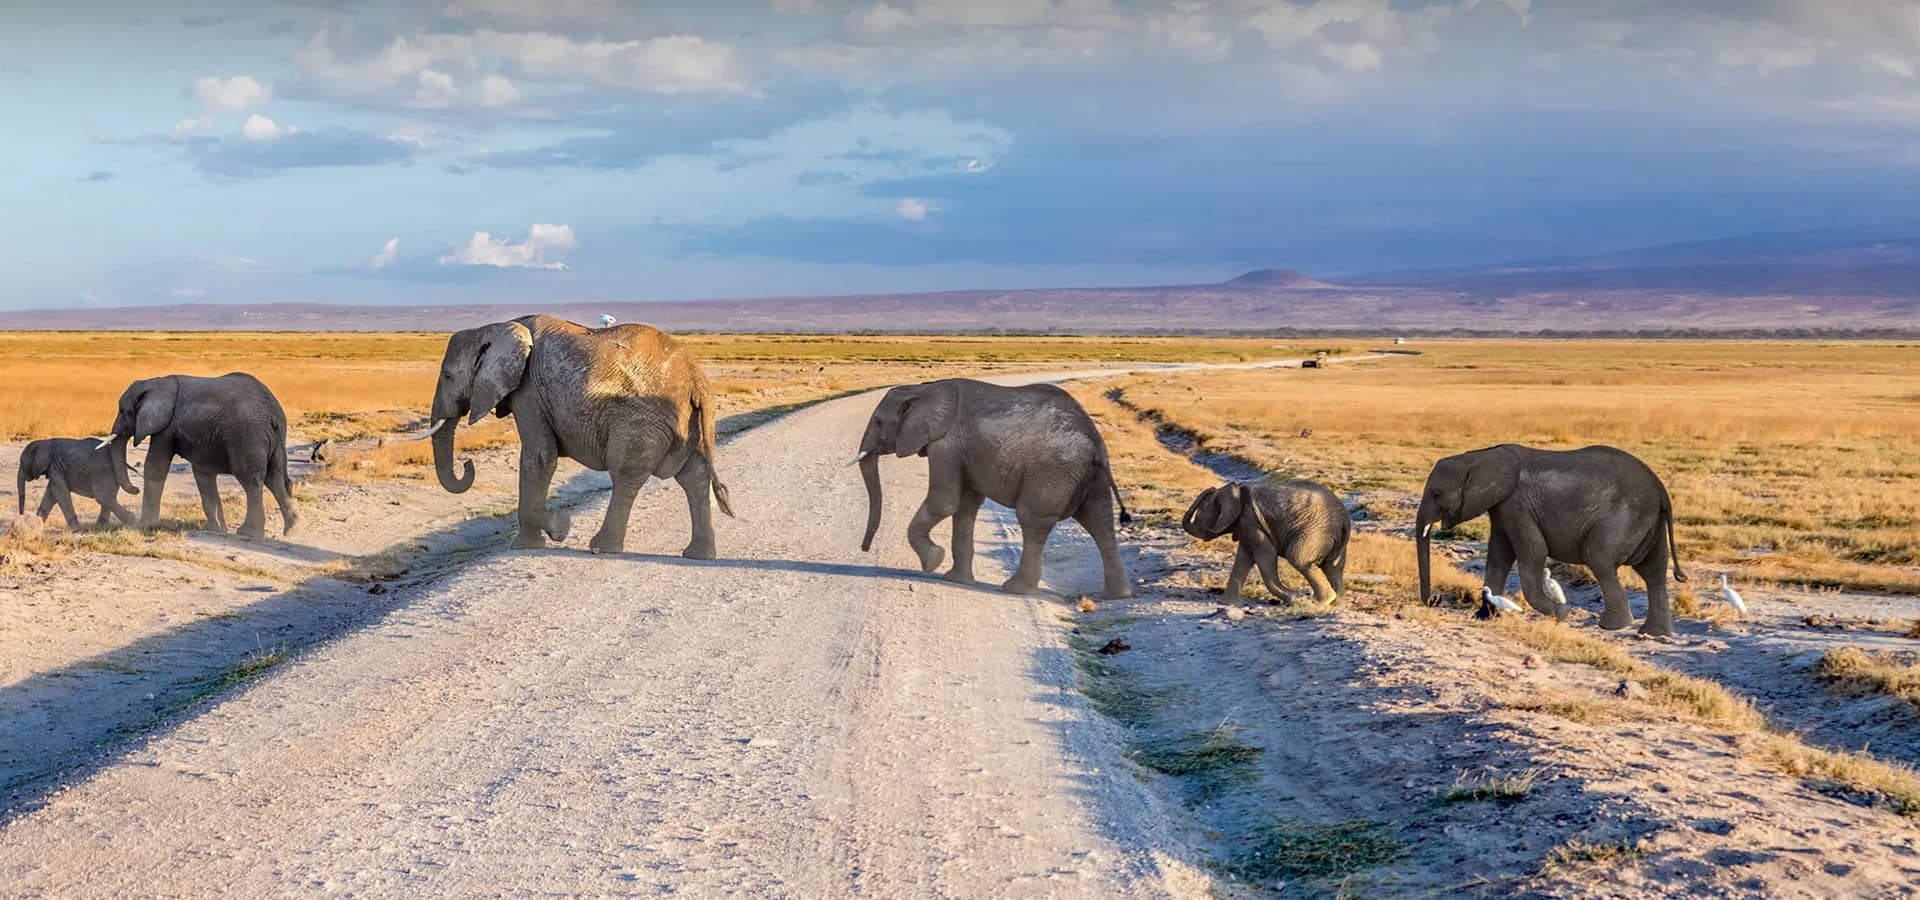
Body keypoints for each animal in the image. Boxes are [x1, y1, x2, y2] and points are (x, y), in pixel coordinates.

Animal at [104, 373, 299, 539]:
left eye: (123, 411)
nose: (135, 489)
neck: (154, 382)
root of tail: (272, 413)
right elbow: (203, 475)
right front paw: (216, 529)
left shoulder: (167, 426)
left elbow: (155, 466)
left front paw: (144, 525)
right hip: (275, 439)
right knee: (276, 478)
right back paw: (291, 529)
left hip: (248, 436)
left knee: (251, 481)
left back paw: (248, 533)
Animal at [421, 315, 733, 558]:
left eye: (447, 376)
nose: (467, 464)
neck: (494, 328)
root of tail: (697, 381)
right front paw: (538, 539)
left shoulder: (529, 391)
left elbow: (538, 457)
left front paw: (556, 528)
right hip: (691, 423)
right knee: (693, 477)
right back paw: (698, 555)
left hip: (640, 423)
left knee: (626, 474)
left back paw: (601, 548)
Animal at [855, 378, 1133, 599]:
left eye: (878, 422)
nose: (864, 549)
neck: (924, 388)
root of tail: (1096, 443)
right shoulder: (962, 450)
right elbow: (965, 506)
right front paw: (955, 580)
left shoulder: (946, 445)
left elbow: (945, 502)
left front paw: (933, 562)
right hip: (1088, 476)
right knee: (1099, 521)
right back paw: (1117, 596)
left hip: (1052, 471)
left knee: (1033, 520)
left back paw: (1016, 589)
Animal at [1182, 477, 1350, 604]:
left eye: (1201, 513)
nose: (1210, 488)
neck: (1236, 492)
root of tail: (1344, 521)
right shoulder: (1247, 525)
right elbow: (1244, 557)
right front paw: (1227, 603)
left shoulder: (1251, 520)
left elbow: (1266, 554)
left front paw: (1294, 598)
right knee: (1333, 567)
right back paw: (1335, 601)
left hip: (1314, 533)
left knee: (1298, 558)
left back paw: (1322, 602)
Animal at [1414, 444, 1686, 636]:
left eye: (1436, 493)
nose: (1435, 600)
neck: (1478, 456)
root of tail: (1662, 492)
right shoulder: (1502, 506)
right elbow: (1499, 554)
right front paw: (1483, 616)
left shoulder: (1517, 503)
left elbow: (1533, 551)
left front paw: (1561, 613)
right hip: (1648, 522)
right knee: (1653, 571)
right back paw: (1654, 633)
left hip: (1623, 517)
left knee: (1598, 558)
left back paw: (1612, 626)